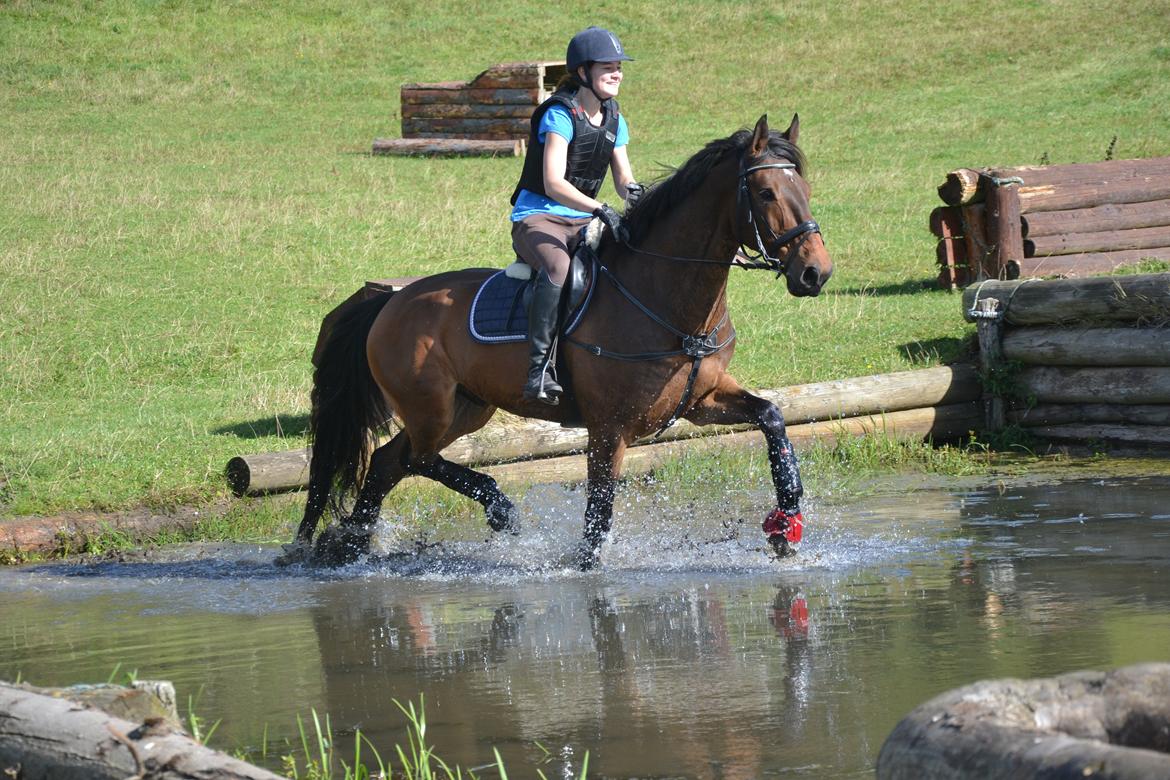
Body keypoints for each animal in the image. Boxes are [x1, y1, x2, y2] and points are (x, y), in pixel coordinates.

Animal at [283, 114, 833, 568]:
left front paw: (786, 523)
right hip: (431, 406)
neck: (668, 300)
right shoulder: (609, 428)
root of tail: (390, 302)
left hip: (464, 408)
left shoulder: (702, 400)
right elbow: (598, 516)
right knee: (412, 460)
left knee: (387, 463)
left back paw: (350, 545)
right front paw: (585, 567)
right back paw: (497, 508)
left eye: (804, 186)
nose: (816, 273)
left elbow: (772, 417)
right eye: (765, 192)